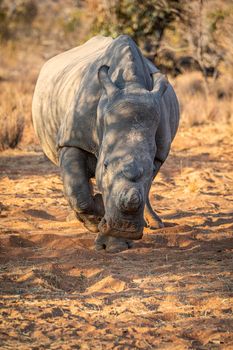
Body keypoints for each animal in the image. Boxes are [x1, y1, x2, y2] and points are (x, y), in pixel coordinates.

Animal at [31, 34, 179, 252]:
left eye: (150, 166)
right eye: (106, 165)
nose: (126, 228)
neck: (131, 85)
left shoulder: (159, 152)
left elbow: (144, 184)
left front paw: (114, 242)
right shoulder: (72, 140)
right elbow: (78, 191)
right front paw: (98, 219)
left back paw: (154, 224)